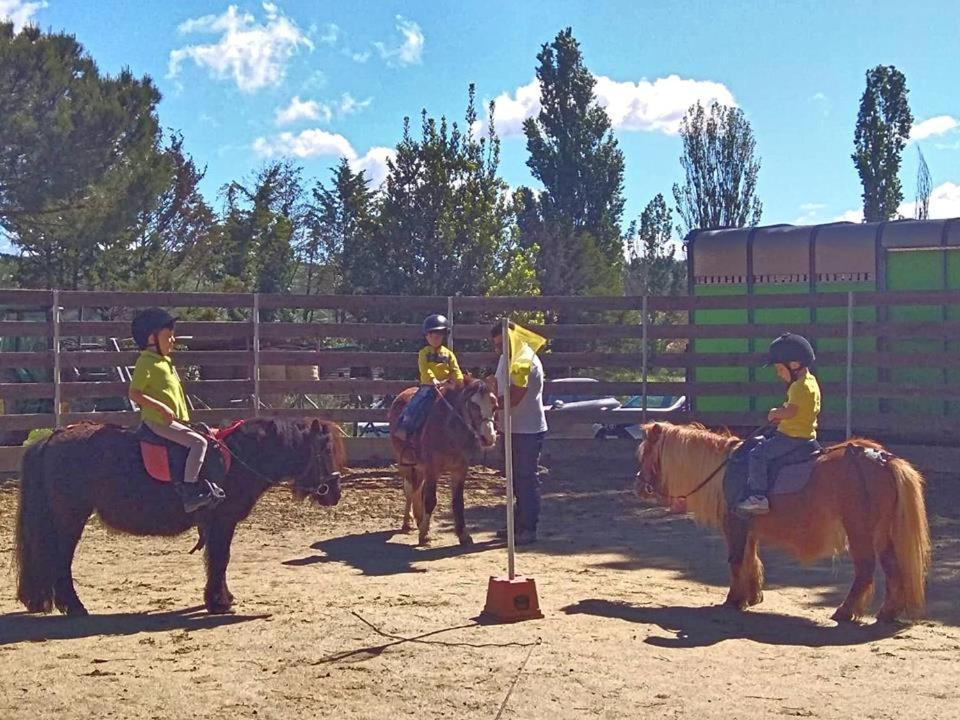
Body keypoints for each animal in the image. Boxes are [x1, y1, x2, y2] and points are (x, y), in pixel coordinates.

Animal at [14, 420, 344, 616]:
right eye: (324, 450)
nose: (334, 493)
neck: (240, 457)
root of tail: (51, 438)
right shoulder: (222, 522)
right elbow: (220, 559)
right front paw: (219, 602)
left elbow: (216, 561)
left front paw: (219, 598)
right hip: (70, 518)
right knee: (59, 560)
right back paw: (74, 606)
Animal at [388, 380, 498, 544]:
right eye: (473, 405)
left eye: (494, 405)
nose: (488, 438)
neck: (449, 431)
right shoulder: (432, 470)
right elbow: (430, 500)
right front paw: (424, 535)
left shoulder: (460, 470)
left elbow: (458, 502)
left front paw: (463, 535)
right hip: (406, 464)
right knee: (409, 490)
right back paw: (408, 523)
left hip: (420, 468)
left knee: (417, 490)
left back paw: (419, 519)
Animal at [636, 420, 928, 620]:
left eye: (646, 453)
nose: (639, 486)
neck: (722, 471)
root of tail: (884, 459)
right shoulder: (749, 527)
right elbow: (751, 559)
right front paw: (752, 596)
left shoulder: (735, 525)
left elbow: (736, 560)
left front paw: (734, 600)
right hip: (882, 533)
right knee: (892, 567)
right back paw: (888, 612)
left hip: (860, 531)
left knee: (865, 569)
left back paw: (845, 611)